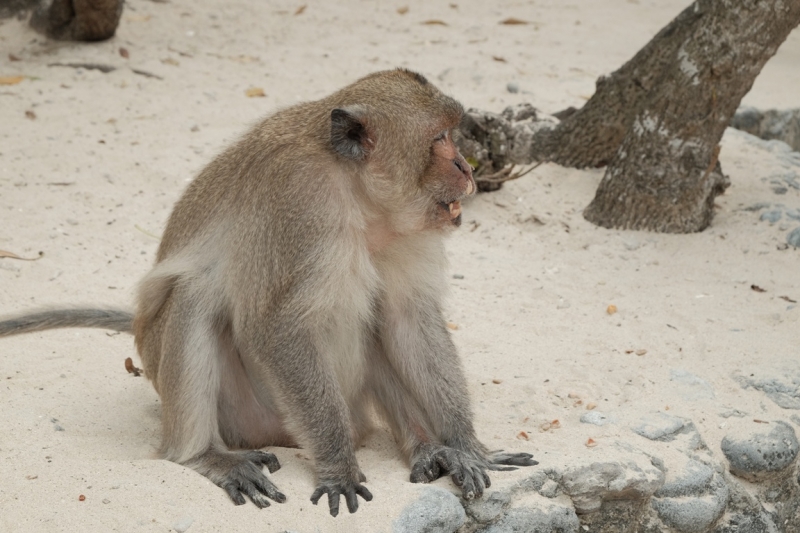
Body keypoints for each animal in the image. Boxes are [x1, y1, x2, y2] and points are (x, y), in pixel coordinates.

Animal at [1, 69, 536, 516]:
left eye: (453, 134)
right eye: (440, 138)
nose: (466, 167)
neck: (357, 195)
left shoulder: (411, 227)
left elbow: (409, 319)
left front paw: (467, 447)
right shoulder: (300, 203)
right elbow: (276, 328)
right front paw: (339, 468)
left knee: (377, 317)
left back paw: (429, 449)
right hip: (248, 415)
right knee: (194, 297)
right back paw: (203, 455)